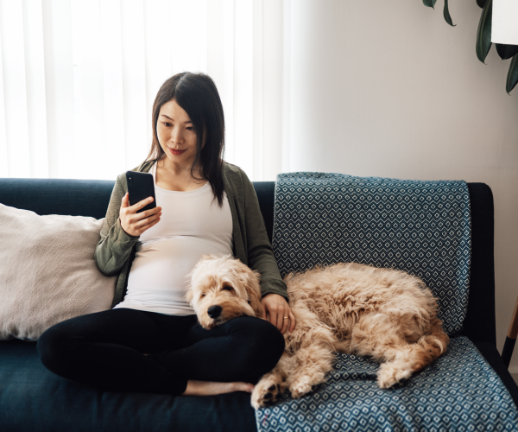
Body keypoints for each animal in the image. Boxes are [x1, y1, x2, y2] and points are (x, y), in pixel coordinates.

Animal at [188, 255, 450, 410]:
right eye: (203, 294)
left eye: (227, 287)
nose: (212, 310)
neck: (262, 310)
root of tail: (431, 311)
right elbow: (277, 366)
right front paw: (267, 388)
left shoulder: (311, 334)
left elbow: (309, 358)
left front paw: (303, 379)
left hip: (369, 327)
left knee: (415, 351)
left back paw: (394, 373)